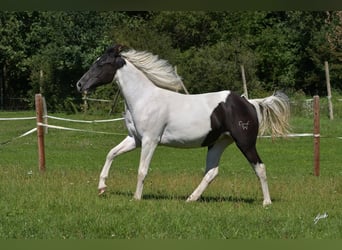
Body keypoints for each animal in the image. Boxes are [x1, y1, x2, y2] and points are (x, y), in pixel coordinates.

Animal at [76, 45, 290, 205]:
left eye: (101, 64)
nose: (79, 84)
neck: (144, 99)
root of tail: (250, 103)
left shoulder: (150, 140)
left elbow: (142, 170)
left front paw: (136, 198)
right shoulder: (134, 139)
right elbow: (111, 153)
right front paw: (102, 188)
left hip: (245, 142)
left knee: (259, 167)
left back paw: (266, 202)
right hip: (218, 143)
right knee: (212, 172)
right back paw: (191, 198)